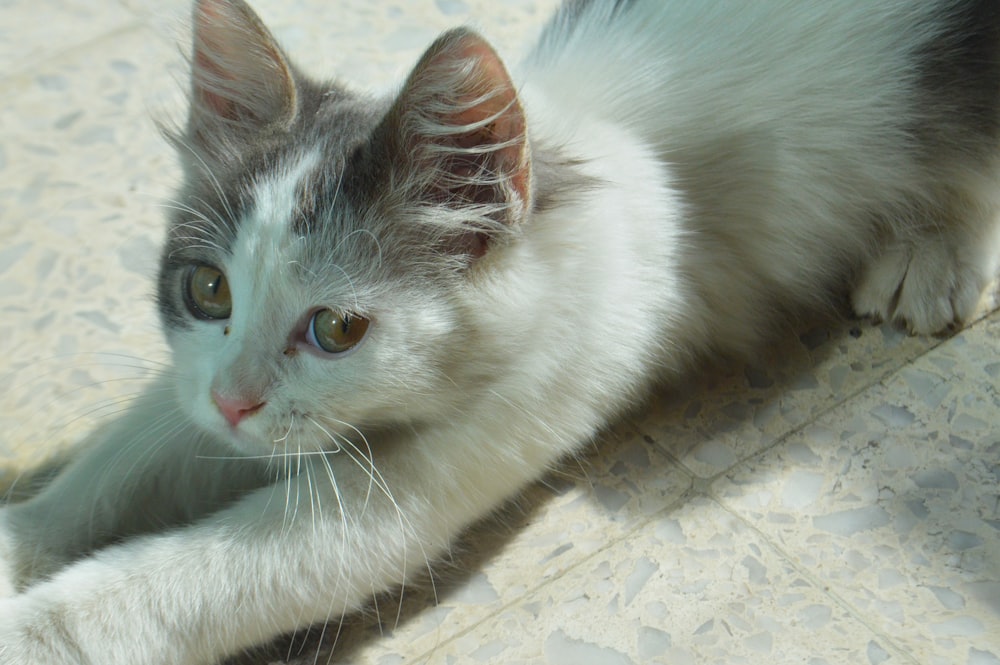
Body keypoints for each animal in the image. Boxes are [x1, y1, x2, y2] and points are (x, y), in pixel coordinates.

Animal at [1, 0, 1000, 660]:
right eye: (208, 289)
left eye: (336, 329)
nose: (236, 403)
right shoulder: (193, 392)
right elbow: (120, 463)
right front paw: (21, 535)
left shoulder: (497, 414)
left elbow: (175, 582)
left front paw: (30, 623)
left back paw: (931, 248)